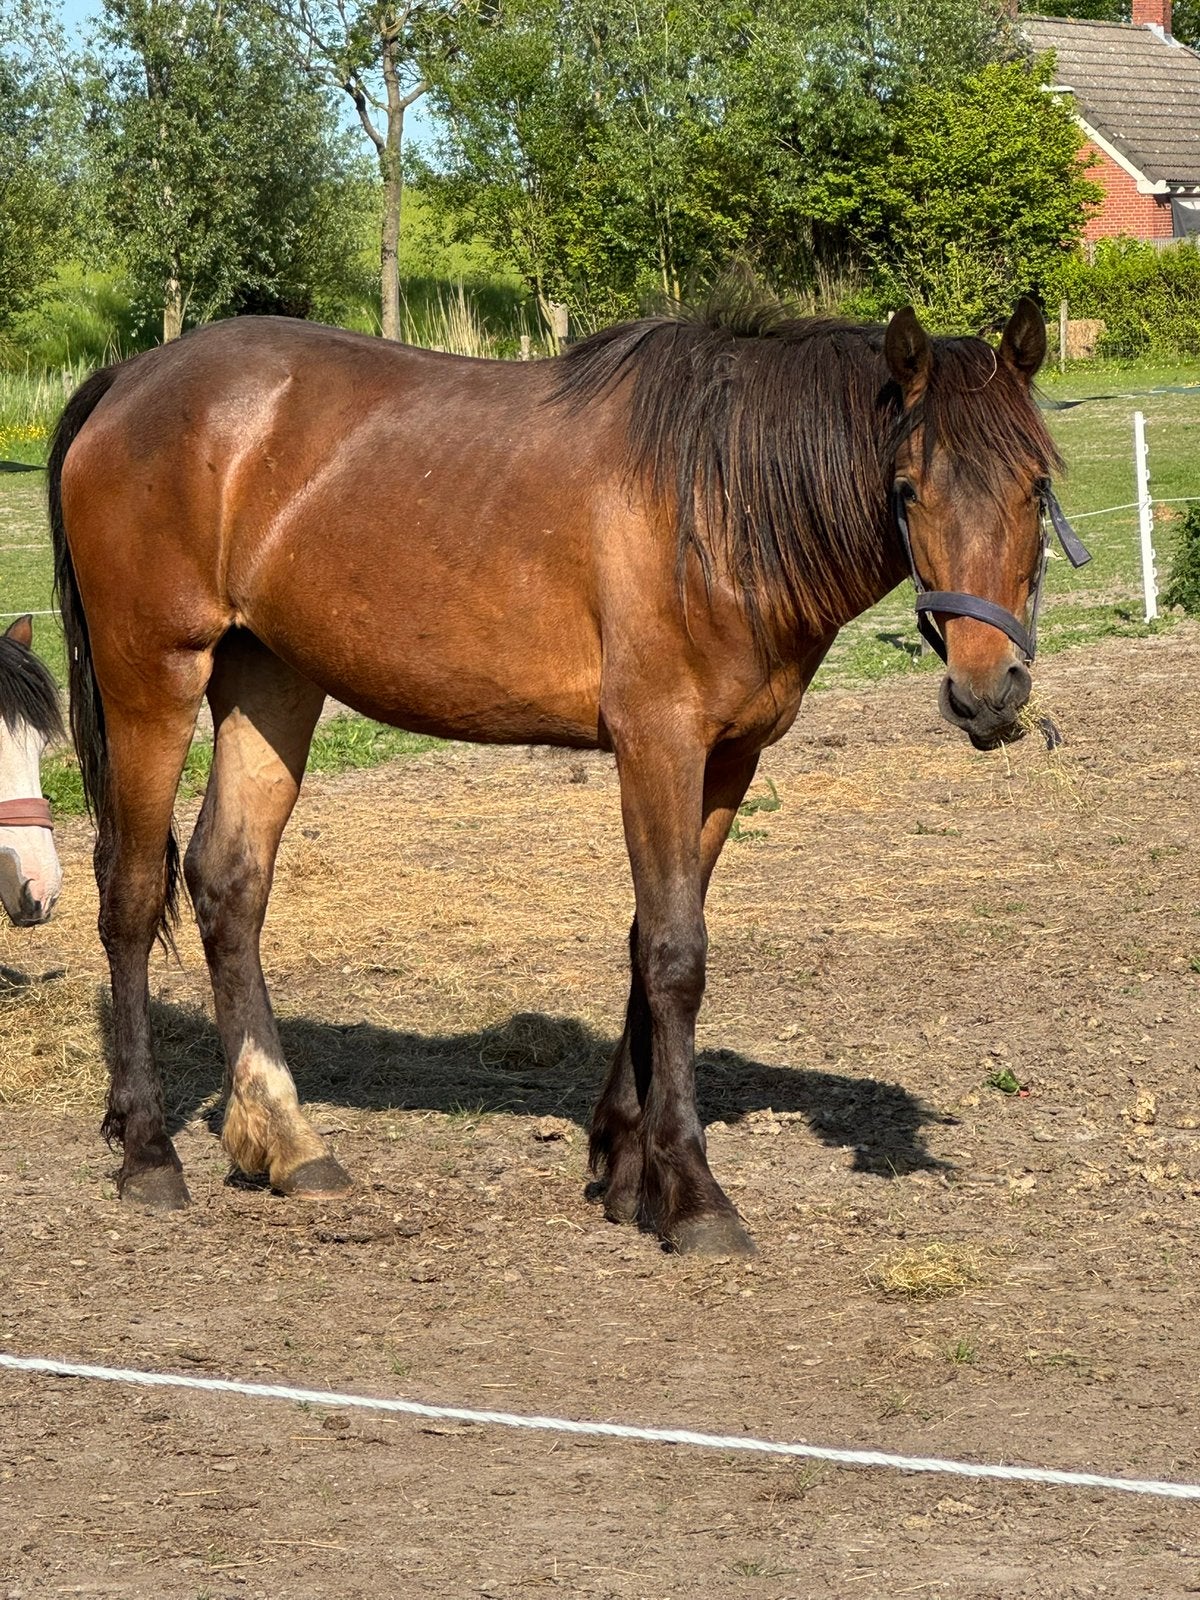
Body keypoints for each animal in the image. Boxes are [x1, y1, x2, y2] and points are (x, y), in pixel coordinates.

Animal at [49, 293, 1070, 1256]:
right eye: (907, 488)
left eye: (1036, 487)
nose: (988, 692)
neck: (718, 498)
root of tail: (133, 378)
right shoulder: (659, 744)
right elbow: (675, 955)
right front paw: (692, 1193)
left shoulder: (728, 760)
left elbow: (648, 941)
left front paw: (624, 1164)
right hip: (155, 679)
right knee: (131, 896)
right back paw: (149, 1150)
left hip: (271, 678)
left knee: (229, 882)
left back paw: (285, 1140)